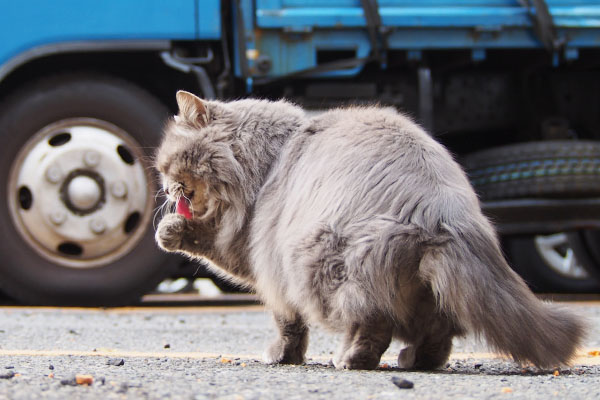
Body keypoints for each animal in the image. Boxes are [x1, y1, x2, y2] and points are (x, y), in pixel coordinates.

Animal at [155, 90, 584, 368]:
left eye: (166, 164)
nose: (164, 188)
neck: (272, 157)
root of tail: (443, 214)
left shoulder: (261, 253)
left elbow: (286, 321)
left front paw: (282, 357)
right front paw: (170, 228)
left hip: (322, 264)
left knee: (373, 322)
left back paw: (352, 359)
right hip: (429, 289)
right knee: (439, 332)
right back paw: (415, 361)